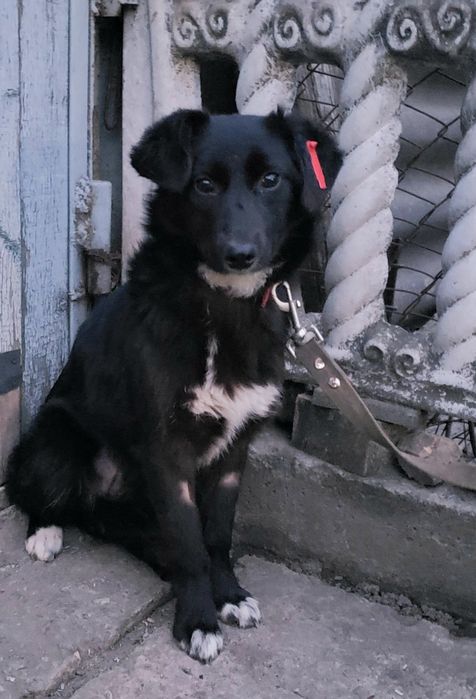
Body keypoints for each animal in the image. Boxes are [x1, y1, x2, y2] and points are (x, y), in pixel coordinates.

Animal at [6, 109, 340, 662]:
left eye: (271, 180)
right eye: (204, 184)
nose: (241, 254)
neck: (224, 308)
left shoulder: (234, 450)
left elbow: (216, 535)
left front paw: (228, 594)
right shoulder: (167, 454)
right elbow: (189, 546)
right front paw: (198, 620)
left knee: (101, 519)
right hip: (54, 439)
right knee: (41, 496)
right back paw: (46, 534)